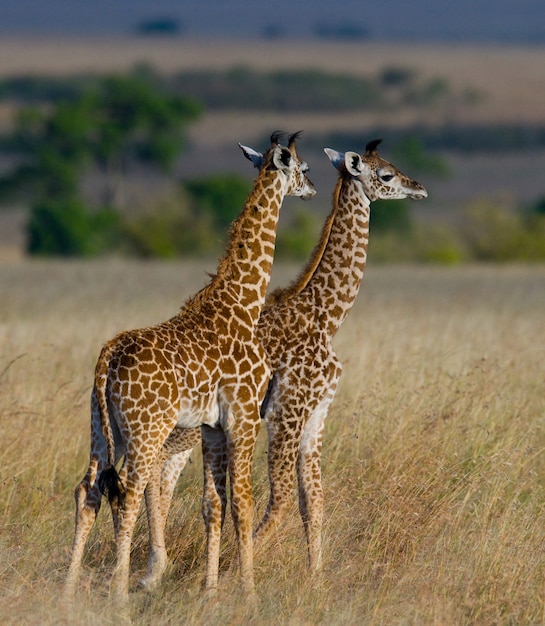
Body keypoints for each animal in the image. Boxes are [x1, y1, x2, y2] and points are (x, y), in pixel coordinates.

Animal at [64, 130, 316, 600]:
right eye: (304, 168)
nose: (310, 189)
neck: (243, 303)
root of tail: (109, 354)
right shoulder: (244, 416)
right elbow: (243, 501)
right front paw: (249, 592)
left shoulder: (213, 426)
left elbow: (214, 502)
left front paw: (213, 592)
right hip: (146, 431)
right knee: (127, 493)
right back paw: (119, 592)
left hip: (103, 429)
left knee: (87, 489)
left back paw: (69, 591)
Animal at [138, 138, 428, 584]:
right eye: (386, 174)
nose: (419, 188)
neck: (326, 315)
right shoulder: (286, 411)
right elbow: (282, 498)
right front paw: (233, 572)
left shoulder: (317, 412)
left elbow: (314, 499)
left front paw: (315, 581)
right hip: (186, 425)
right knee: (153, 471)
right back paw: (155, 568)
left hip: (192, 428)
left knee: (163, 475)